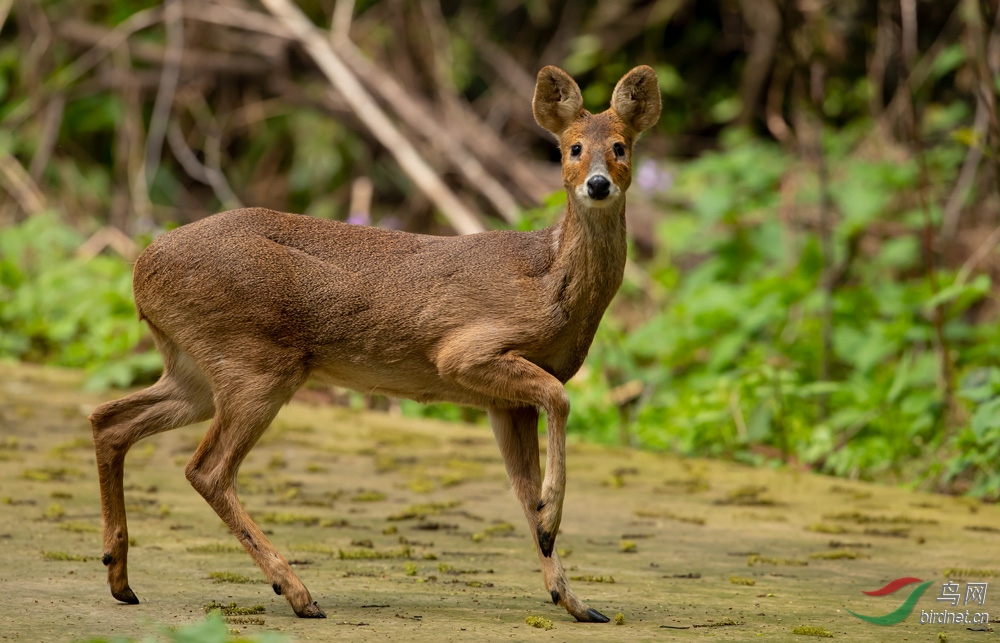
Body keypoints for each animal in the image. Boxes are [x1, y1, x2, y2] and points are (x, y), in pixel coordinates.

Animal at [90, 65, 660, 624]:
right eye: (572, 148)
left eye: (620, 146)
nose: (598, 183)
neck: (550, 281)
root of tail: (141, 269)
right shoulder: (465, 352)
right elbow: (560, 402)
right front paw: (553, 525)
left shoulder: (504, 404)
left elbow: (523, 490)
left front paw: (572, 597)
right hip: (256, 362)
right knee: (205, 469)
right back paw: (297, 593)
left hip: (198, 369)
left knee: (109, 419)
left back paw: (121, 579)